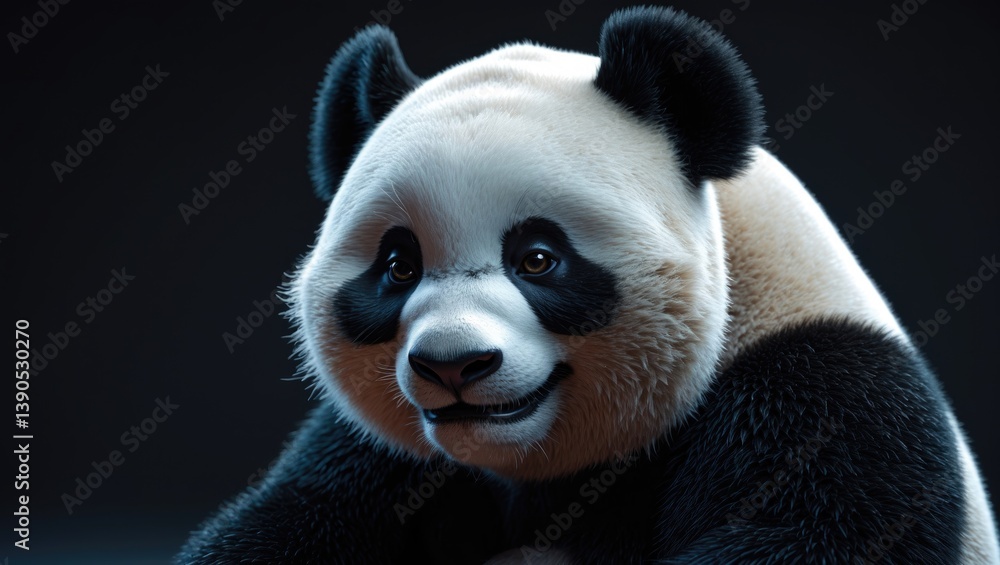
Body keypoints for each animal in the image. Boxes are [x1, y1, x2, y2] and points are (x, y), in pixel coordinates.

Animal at [180, 6, 999, 564]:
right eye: (398, 265)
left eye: (539, 258)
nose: (453, 365)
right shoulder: (380, 459)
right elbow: (295, 514)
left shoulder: (825, 402)